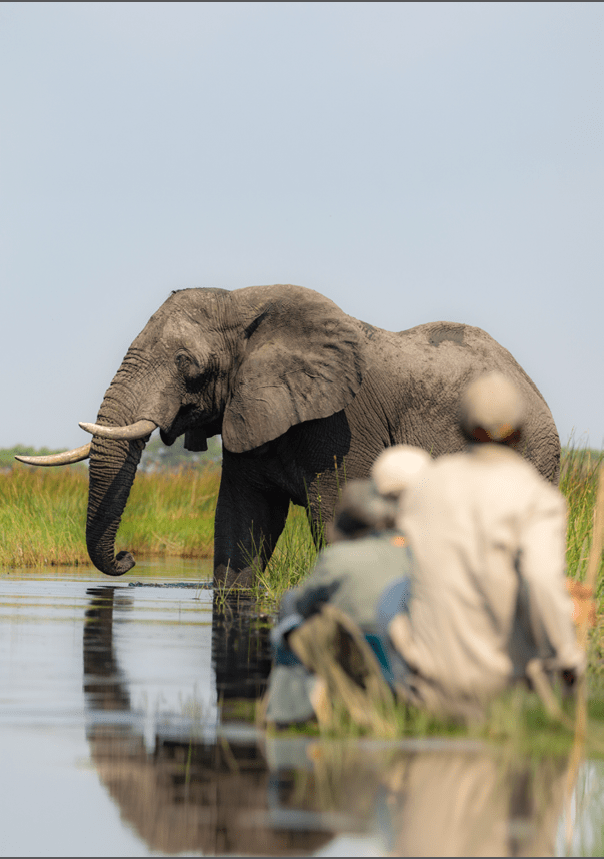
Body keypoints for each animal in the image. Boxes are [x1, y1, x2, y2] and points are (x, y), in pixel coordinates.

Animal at [18, 284, 560, 586]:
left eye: (188, 365)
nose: (129, 558)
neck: (247, 305)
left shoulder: (340, 426)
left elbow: (336, 514)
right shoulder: (249, 414)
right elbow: (240, 522)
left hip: (530, 453)